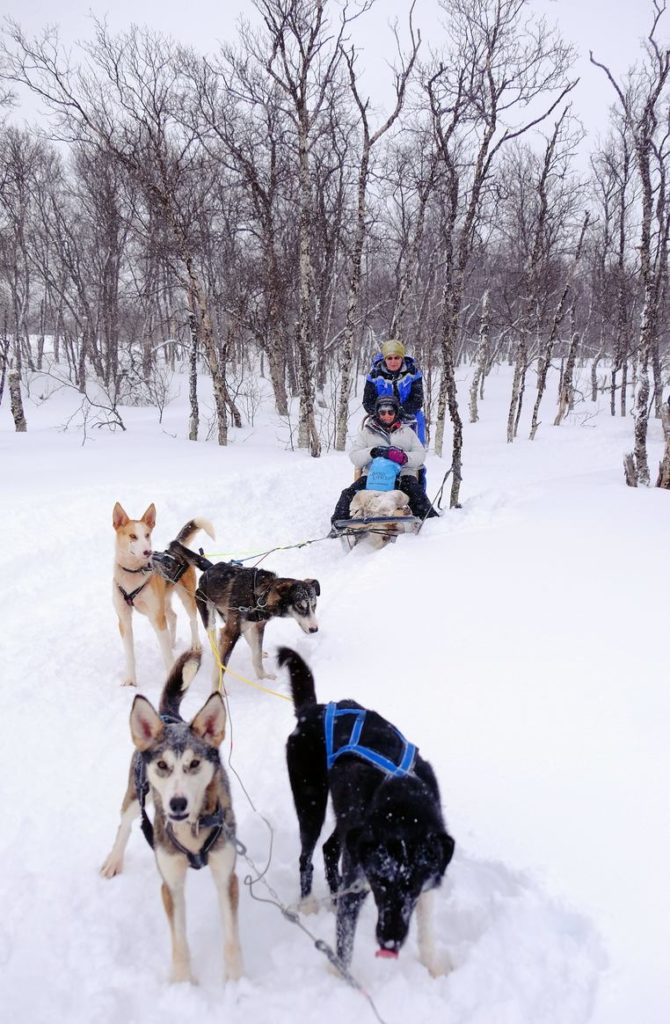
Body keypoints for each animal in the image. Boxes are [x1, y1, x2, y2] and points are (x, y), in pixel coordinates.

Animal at [100, 651, 242, 987]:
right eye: (163, 765)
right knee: (124, 825)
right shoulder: (171, 884)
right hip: (135, 795)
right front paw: (183, 984)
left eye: (194, 763)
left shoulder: (226, 876)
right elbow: (179, 940)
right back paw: (114, 860)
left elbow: (231, 938)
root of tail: (167, 717)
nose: (177, 803)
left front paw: (236, 983)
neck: (192, 830)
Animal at [111, 499, 214, 684]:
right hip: (163, 602)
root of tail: (174, 549)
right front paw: (130, 680)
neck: (133, 574)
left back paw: (194, 644)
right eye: (132, 536)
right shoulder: (124, 620)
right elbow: (130, 654)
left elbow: (166, 655)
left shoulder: (156, 617)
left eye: (147, 535)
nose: (147, 552)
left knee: (192, 620)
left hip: (186, 597)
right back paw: (172, 642)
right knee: (173, 617)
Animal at [171, 540, 323, 684]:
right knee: (213, 636)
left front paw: (263, 677)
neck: (262, 594)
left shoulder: (258, 626)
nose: (315, 629)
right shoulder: (230, 632)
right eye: (300, 606)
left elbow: (257, 657)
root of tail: (210, 568)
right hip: (209, 617)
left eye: (314, 605)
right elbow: (220, 669)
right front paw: (218, 689)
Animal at [278, 647, 456, 974]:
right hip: (311, 804)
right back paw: (308, 903)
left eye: (411, 888)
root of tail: (312, 711)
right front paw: (342, 977)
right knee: (307, 855)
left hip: (347, 821)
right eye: (380, 884)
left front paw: (433, 964)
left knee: (330, 848)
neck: (403, 806)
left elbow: (426, 926)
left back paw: (333, 894)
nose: (389, 941)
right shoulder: (358, 879)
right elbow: (344, 942)